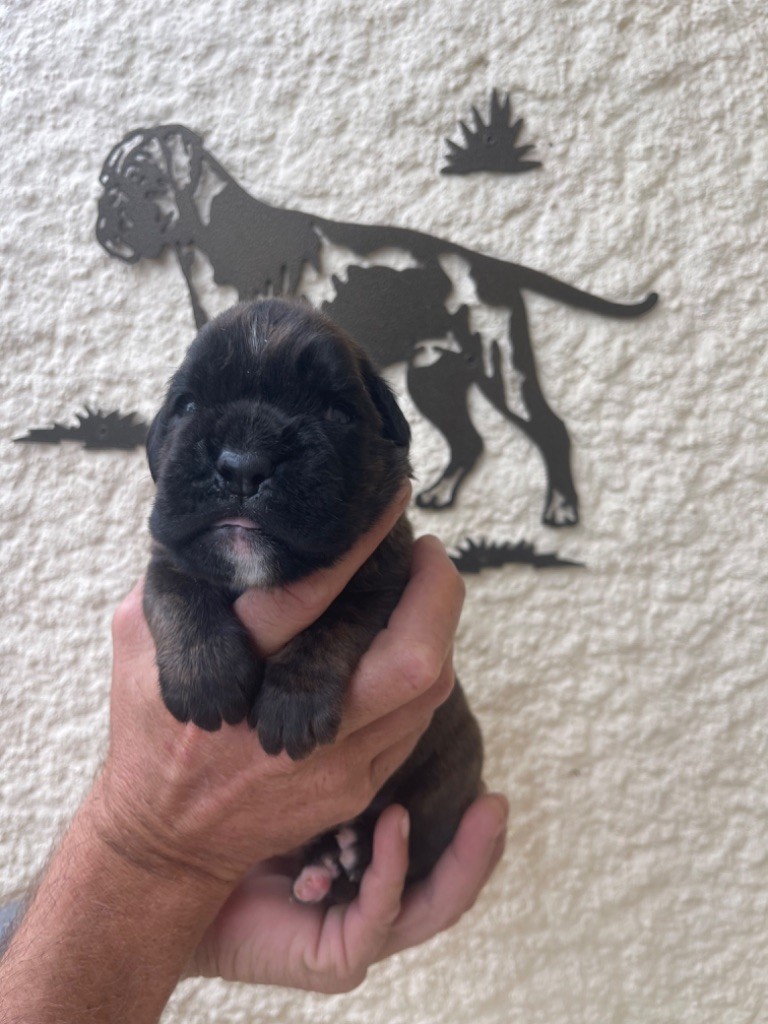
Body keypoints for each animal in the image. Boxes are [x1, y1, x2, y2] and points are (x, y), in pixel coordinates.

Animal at [97, 124, 658, 525]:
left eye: (143, 180)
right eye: (107, 182)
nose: (106, 216)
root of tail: (494, 266)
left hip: (499, 366)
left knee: (549, 428)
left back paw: (561, 509)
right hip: (433, 379)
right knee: (469, 441)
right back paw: (441, 492)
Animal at [143, 297, 483, 901]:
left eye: (336, 413)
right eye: (187, 405)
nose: (242, 463)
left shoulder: (383, 579)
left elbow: (335, 624)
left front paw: (292, 705)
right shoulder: (168, 553)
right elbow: (176, 592)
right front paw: (205, 676)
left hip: (445, 775)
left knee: (417, 844)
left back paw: (353, 861)